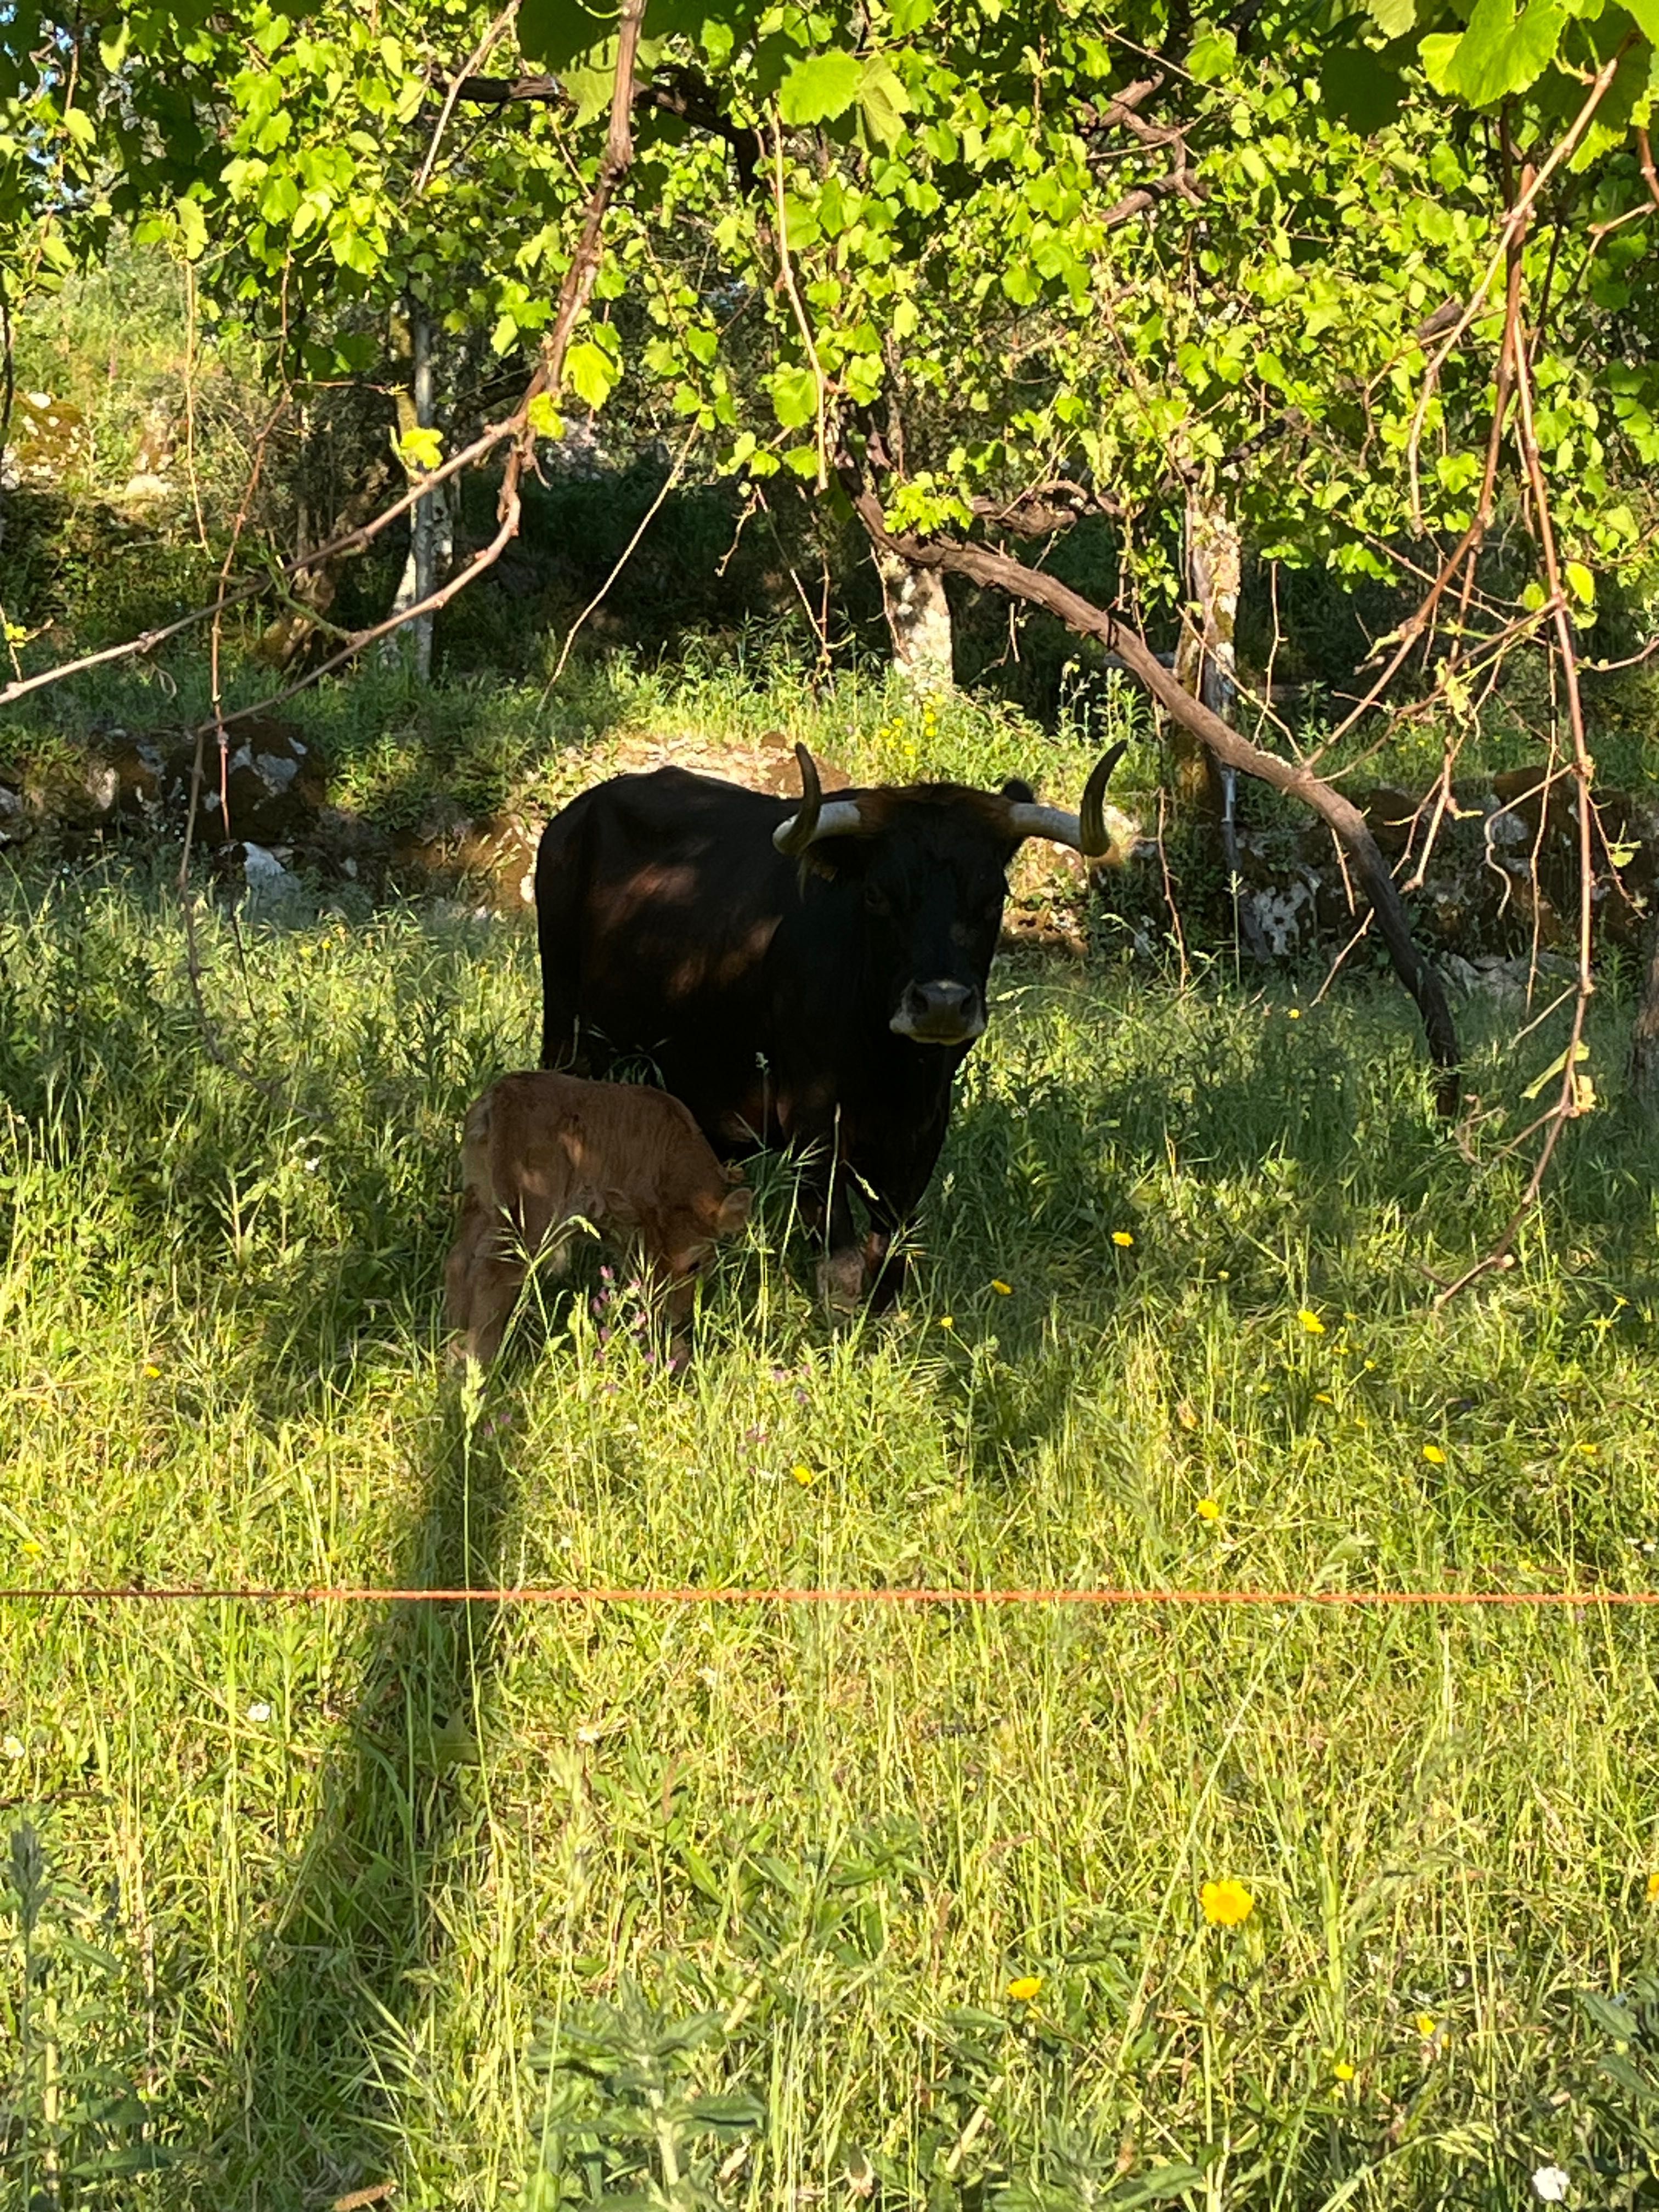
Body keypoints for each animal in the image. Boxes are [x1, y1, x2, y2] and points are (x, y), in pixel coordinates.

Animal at [442, 1070, 752, 1362]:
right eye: (694, 1264)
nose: (676, 1316)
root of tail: (496, 1097)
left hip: (481, 1201)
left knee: (459, 1260)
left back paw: (455, 1349)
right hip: (527, 1215)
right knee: (493, 1272)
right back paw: (480, 1362)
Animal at [539, 743, 1124, 1300]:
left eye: (993, 895)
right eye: (876, 894)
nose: (941, 1003)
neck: (892, 1067)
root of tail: (573, 816)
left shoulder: (924, 1128)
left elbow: (890, 1252)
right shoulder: (812, 1117)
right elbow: (840, 1262)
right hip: (568, 1036)